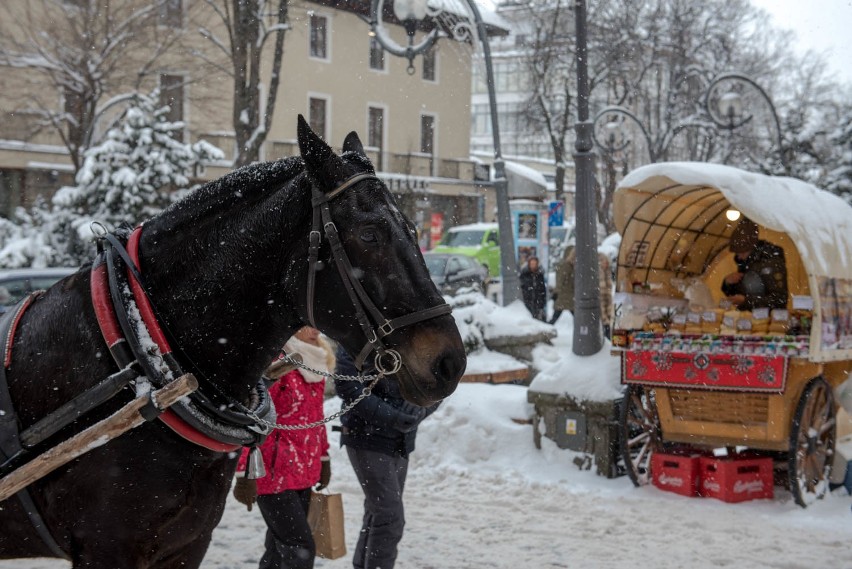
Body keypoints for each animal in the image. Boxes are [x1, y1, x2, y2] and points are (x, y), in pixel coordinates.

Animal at [0, 116, 466, 568]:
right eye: (370, 234)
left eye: (414, 227)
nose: (450, 363)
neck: (140, 356)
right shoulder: (107, 547)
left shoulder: (188, 543)